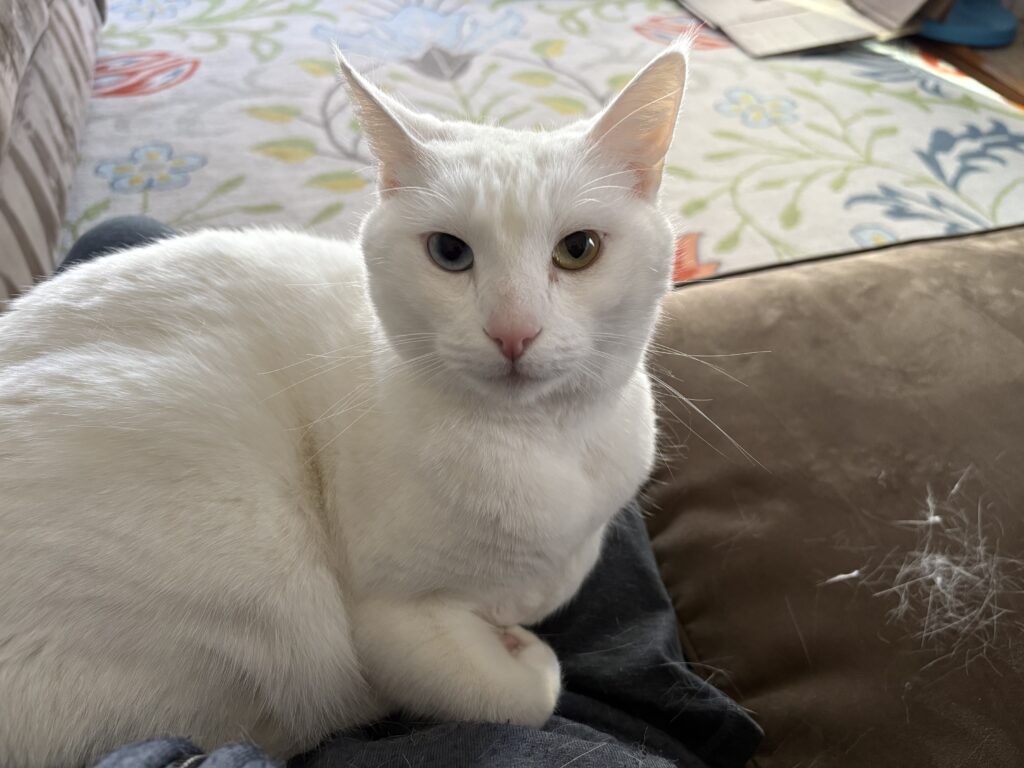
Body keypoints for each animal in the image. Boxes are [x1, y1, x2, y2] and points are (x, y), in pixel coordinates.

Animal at [0, 41, 692, 768]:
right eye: (449, 252)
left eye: (578, 249)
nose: (513, 331)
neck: (542, 444)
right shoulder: (386, 620)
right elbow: (514, 690)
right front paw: (519, 645)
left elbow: (566, 572)